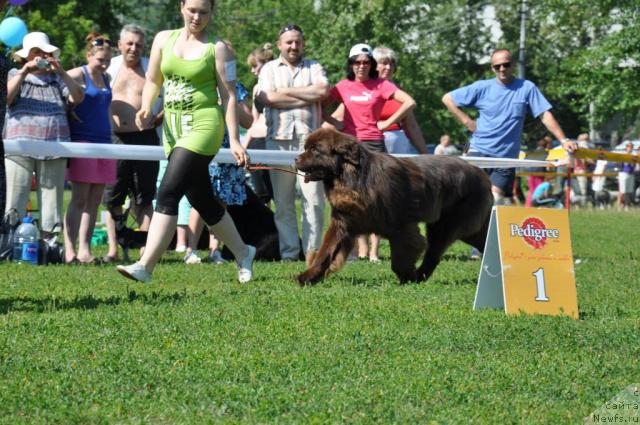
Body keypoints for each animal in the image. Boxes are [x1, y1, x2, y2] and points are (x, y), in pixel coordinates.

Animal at [296, 127, 496, 284]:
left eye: (316, 150)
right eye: (306, 148)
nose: (296, 159)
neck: (354, 180)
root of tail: (481, 174)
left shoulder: (401, 227)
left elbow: (400, 259)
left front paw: (407, 277)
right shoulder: (343, 223)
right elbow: (326, 253)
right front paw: (307, 277)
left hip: (450, 225)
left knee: (434, 253)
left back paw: (420, 276)